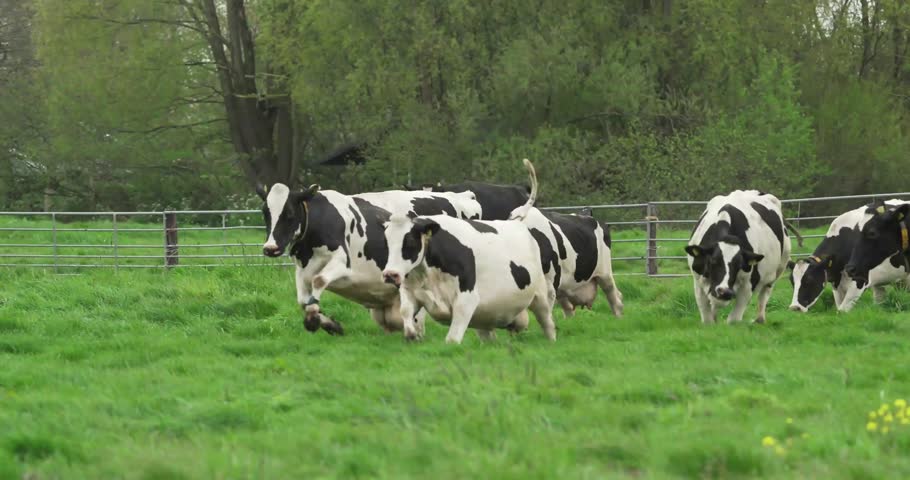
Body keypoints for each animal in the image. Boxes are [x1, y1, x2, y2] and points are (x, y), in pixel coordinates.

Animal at [258, 184, 482, 335]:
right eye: (265, 212)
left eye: (289, 213)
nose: (270, 248)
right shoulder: (302, 269)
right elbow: (303, 301)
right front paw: (330, 324)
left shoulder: (341, 262)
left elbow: (319, 281)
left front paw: (313, 320)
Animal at [684, 190, 793, 324]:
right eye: (713, 261)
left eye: (740, 264)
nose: (725, 292)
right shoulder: (698, 281)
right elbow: (707, 318)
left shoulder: (748, 285)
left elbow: (734, 319)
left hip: (778, 269)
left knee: (764, 294)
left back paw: (760, 319)